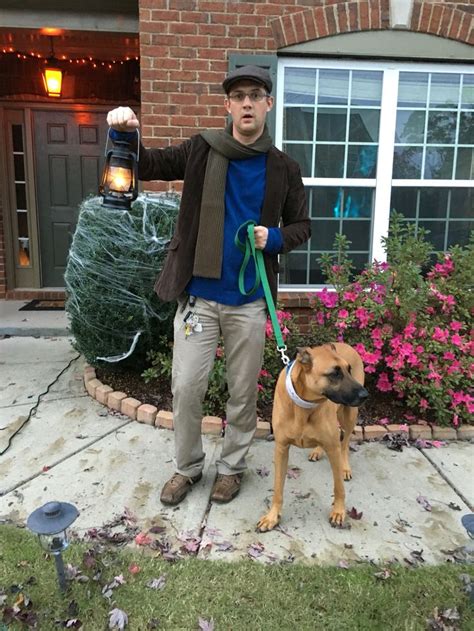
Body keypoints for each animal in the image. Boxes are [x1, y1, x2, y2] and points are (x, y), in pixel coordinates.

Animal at [258, 344, 368, 532]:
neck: (305, 404)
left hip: (349, 416)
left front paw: (339, 511)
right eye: (334, 374)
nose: (365, 395)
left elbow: (339, 487)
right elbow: (278, 489)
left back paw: (345, 467)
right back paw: (317, 450)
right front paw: (272, 516)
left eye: (349, 370)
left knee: (345, 442)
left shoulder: (333, 447)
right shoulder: (281, 449)